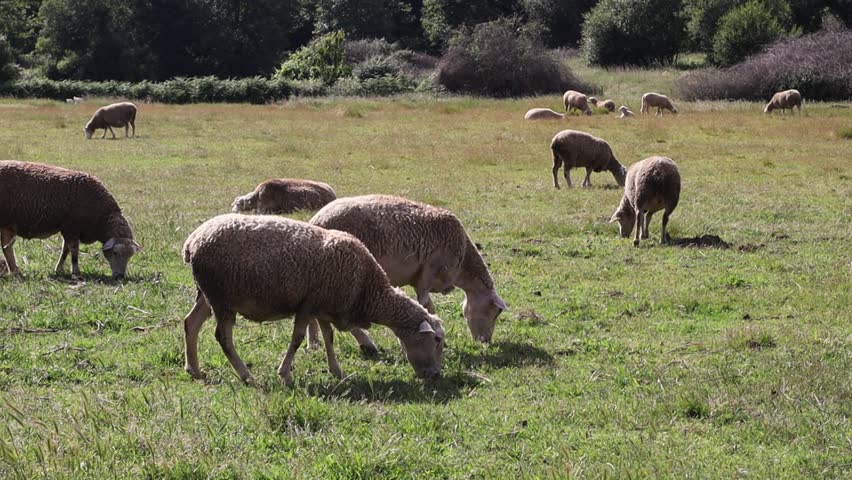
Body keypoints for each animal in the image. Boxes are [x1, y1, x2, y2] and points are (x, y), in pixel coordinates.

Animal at [0, 160, 141, 279]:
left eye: (130, 255)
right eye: (116, 253)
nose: (120, 276)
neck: (101, 217)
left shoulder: (68, 230)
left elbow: (65, 250)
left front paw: (59, 269)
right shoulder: (71, 228)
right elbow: (74, 251)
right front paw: (76, 271)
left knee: (7, 248)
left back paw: (14, 271)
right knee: (7, 248)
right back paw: (15, 272)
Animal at [181, 213, 445, 384]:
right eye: (436, 340)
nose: (435, 375)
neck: (367, 288)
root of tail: (192, 242)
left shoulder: (324, 307)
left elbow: (329, 338)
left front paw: (336, 370)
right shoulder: (308, 306)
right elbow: (297, 339)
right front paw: (285, 373)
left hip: (207, 294)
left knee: (191, 323)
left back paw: (194, 370)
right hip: (220, 298)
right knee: (223, 337)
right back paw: (246, 376)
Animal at [309, 195, 507, 349]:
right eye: (496, 312)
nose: (486, 341)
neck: (463, 263)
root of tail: (316, 220)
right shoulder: (426, 277)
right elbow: (427, 305)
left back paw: (313, 343)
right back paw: (366, 344)